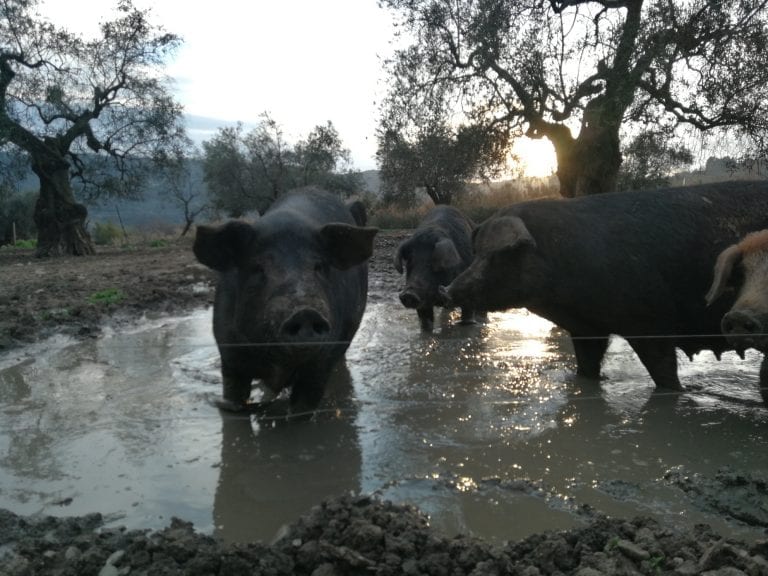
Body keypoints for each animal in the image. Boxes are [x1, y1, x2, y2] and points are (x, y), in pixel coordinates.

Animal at [195, 189, 378, 414]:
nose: (305, 312)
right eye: (258, 268)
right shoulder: (229, 356)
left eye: (319, 266)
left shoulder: (320, 365)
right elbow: (233, 400)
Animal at [440, 182, 768, 398]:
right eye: (477, 251)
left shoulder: (652, 321)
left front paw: (677, 391)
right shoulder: (585, 328)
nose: (447, 290)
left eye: (498, 254)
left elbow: (664, 373)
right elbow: (587, 368)